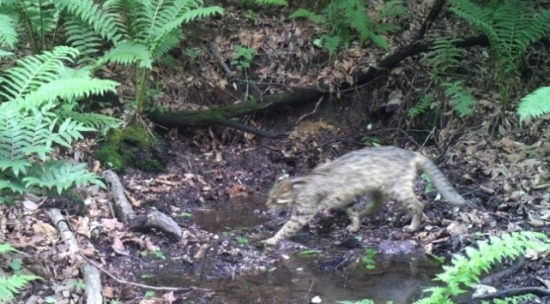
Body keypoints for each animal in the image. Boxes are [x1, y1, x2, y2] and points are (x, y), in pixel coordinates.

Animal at [266, 146, 468, 246]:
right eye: (268, 197)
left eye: (274, 199)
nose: (266, 206)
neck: (300, 185)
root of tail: (412, 153)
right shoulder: (347, 198)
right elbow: (352, 211)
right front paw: (355, 225)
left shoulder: (303, 213)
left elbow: (286, 228)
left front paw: (271, 239)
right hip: (379, 188)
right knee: (378, 204)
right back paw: (364, 215)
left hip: (397, 189)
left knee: (418, 205)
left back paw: (412, 226)